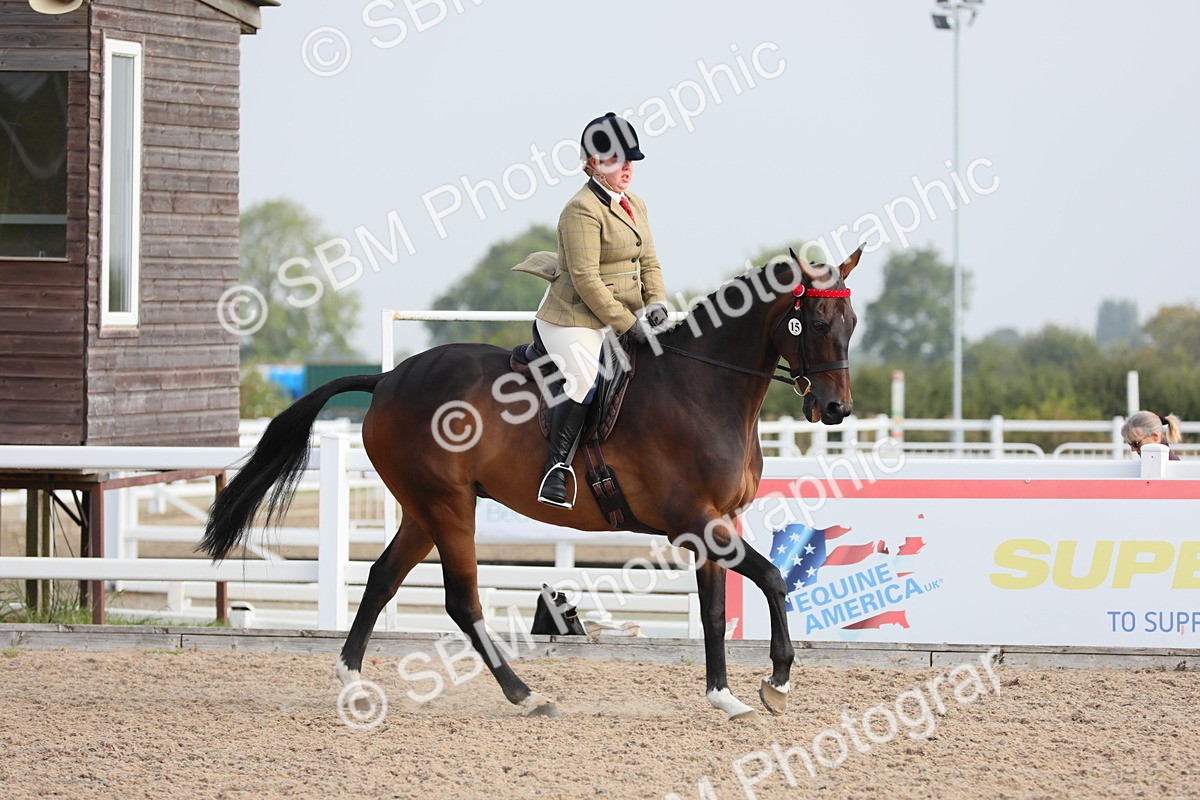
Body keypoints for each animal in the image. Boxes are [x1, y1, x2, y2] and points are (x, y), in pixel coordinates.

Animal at [200, 247, 861, 720]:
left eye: (851, 321)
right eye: (813, 320)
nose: (835, 409)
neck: (704, 388)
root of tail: (387, 379)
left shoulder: (717, 523)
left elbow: (717, 611)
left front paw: (726, 696)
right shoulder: (695, 522)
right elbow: (773, 579)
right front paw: (776, 681)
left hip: (424, 508)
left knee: (384, 577)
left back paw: (353, 681)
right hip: (448, 506)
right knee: (462, 601)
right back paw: (526, 695)